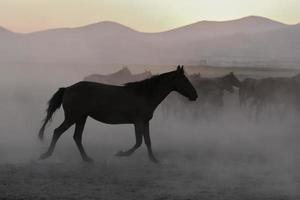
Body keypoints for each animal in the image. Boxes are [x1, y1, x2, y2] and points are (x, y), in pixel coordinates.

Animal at [38, 66, 198, 163]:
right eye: (185, 79)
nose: (195, 95)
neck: (145, 94)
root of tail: (67, 88)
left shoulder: (145, 122)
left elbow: (148, 141)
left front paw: (154, 160)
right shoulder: (138, 122)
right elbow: (139, 142)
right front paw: (121, 153)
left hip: (81, 118)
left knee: (77, 137)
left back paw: (87, 159)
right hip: (73, 117)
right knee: (57, 132)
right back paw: (46, 155)